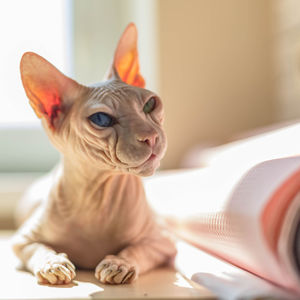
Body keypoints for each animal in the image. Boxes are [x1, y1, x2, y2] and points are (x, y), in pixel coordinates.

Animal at [11, 24, 176, 286]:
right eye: (101, 119)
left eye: (151, 104)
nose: (150, 136)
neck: (96, 195)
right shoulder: (21, 239)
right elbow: (39, 248)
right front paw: (53, 263)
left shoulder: (163, 240)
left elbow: (137, 249)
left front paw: (119, 263)